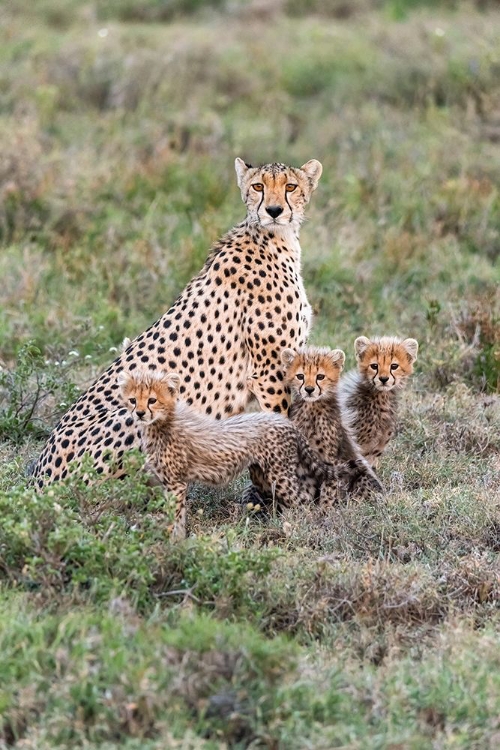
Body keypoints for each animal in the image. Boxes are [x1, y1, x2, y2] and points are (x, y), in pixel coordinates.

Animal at [32, 159, 320, 488]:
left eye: (290, 186)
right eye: (258, 186)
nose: (273, 210)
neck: (274, 237)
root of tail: (37, 480)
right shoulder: (268, 371)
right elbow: (281, 424)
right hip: (135, 414)